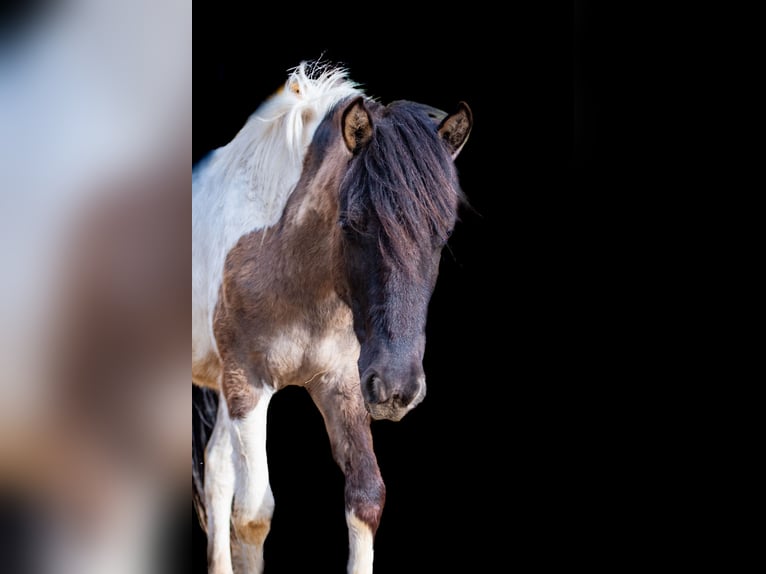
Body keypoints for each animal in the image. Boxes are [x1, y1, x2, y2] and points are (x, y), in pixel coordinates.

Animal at [192, 60, 474, 572]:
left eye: (442, 233)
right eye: (354, 221)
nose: (398, 388)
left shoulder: (342, 383)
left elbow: (366, 499)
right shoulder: (248, 384)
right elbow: (253, 516)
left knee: (217, 469)